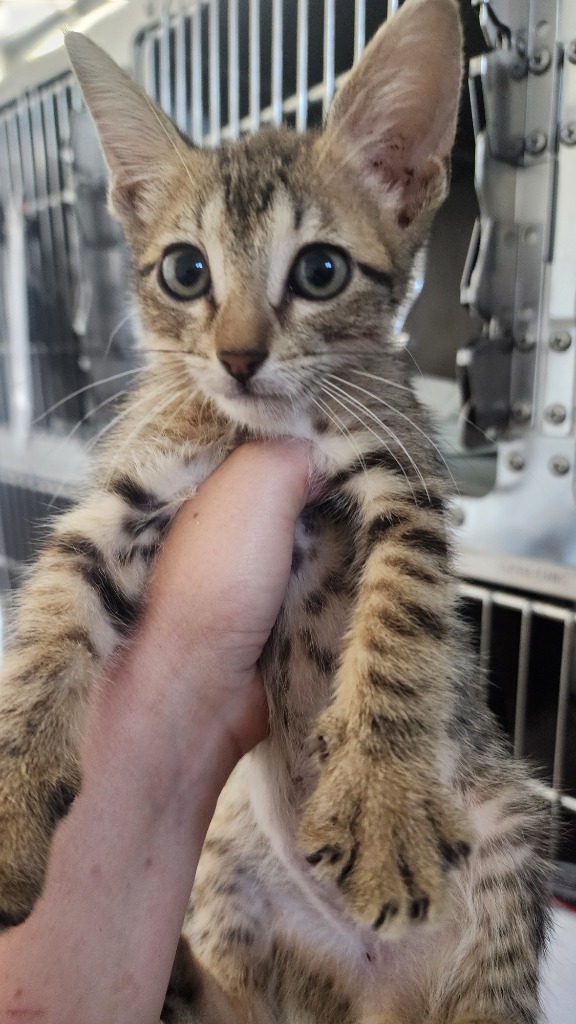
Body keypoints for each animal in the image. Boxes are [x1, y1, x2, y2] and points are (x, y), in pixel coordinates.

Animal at [0, 0, 545, 1019]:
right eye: (184, 271)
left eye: (321, 271)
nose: (239, 356)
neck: (265, 428)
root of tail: (375, 986)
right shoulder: (134, 484)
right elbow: (51, 615)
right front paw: (11, 802)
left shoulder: (403, 477)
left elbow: (405, 618)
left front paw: (383, 802)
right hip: (228, 864)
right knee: (236, 1007)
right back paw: (179, 977)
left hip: (511, 841)